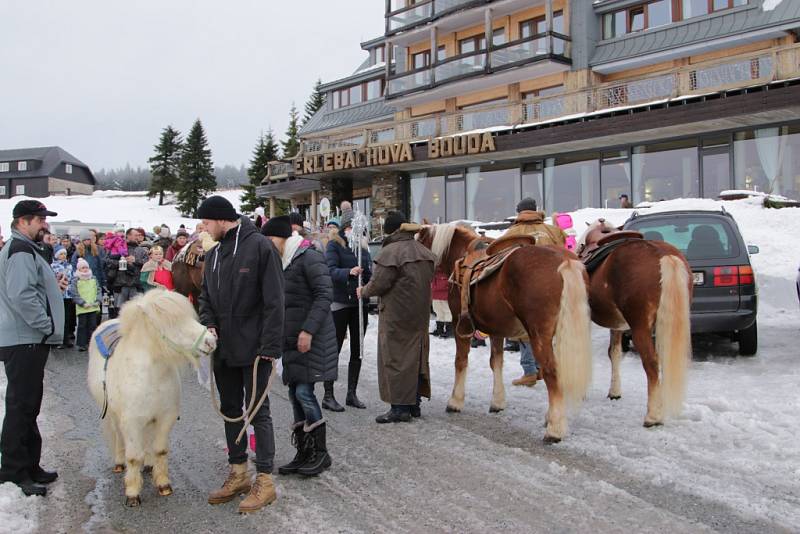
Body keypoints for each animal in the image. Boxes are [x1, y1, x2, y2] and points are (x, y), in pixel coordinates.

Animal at [87, 292, 216, 508]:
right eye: (171, 322)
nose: (211, 341)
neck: (152, 374)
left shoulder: (165, 418)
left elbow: (160, 450)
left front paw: (163, 484)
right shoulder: (131, 422)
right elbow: (133, 457)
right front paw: (132, 493)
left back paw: (148, 465)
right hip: (114, 416)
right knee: (119, 437)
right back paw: (119, 463)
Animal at [418, 223, 592, 444]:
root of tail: (564, 261)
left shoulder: (459, 324)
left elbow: (461, 361)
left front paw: (455, 401)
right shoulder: (496, 329)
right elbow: (496, 362)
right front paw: (498, 401)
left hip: (539, 336)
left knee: (551, 372)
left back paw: (555, 429)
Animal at [580, 220, 692, 430]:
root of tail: (663, 255)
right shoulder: (617, 324)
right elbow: (614, 353)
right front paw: (614, 391)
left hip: (641, 328)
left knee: (651, 364)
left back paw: (653, 416)